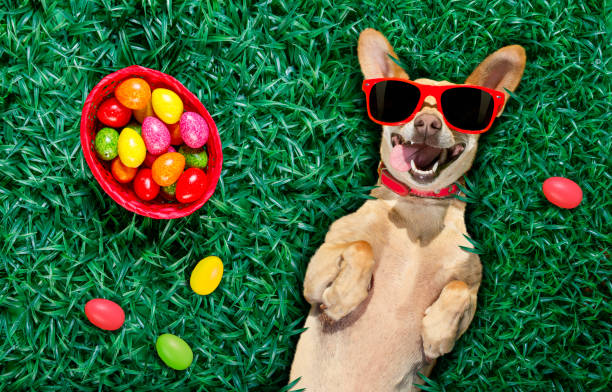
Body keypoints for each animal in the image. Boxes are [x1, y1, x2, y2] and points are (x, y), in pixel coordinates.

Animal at [290, 29, 524, 390]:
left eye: (462, 110)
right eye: (402, 103)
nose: (427, 122)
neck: (419, 208)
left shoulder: (472, 288)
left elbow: (459, 290)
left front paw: (438, 332)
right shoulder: (314, 280)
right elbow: (360, 246)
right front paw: (344, 298)